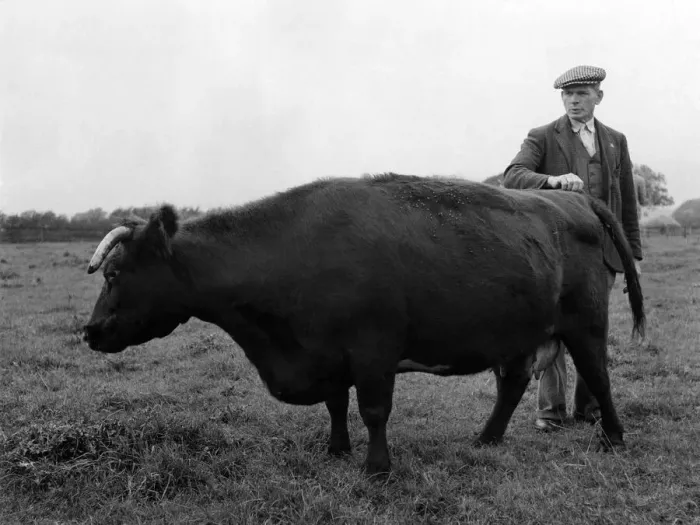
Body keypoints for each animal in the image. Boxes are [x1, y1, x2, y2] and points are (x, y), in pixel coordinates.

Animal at [83, 173, 644, 477]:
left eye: (114, 274)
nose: (89, 332)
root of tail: (572, 197)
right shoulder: (327, 353)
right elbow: (336, 404)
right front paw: (336, 449)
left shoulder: (373, 350)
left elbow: (374, 409)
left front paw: (377, 468)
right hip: (516, 333)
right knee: (513, 385)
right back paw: (486, 439)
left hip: (585, 324)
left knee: (598, 377)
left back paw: (614, 439)